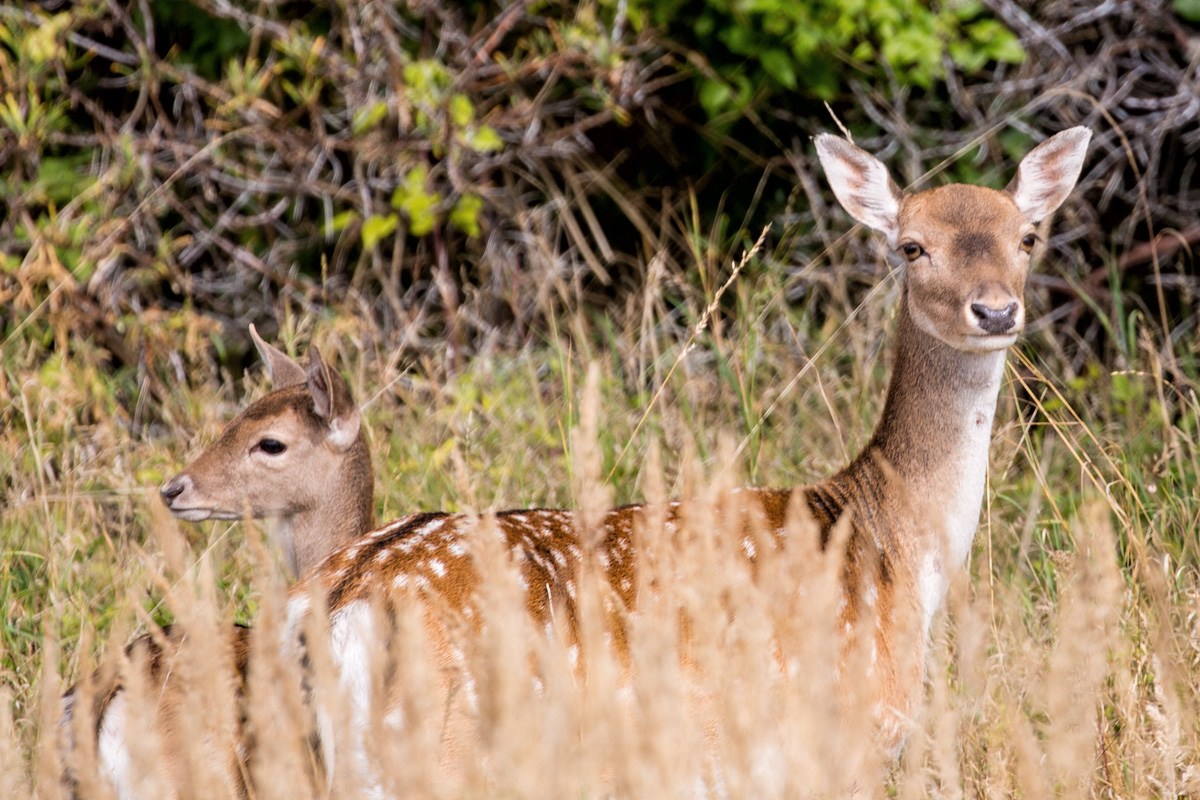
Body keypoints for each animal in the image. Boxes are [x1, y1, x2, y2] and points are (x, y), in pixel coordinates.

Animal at [70, 128, 1094, 796]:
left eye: (1026, 235)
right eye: (910, 245)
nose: (996, 309)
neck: (895, 543)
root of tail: (338, 593)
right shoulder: (840, 740)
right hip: (447, 759)